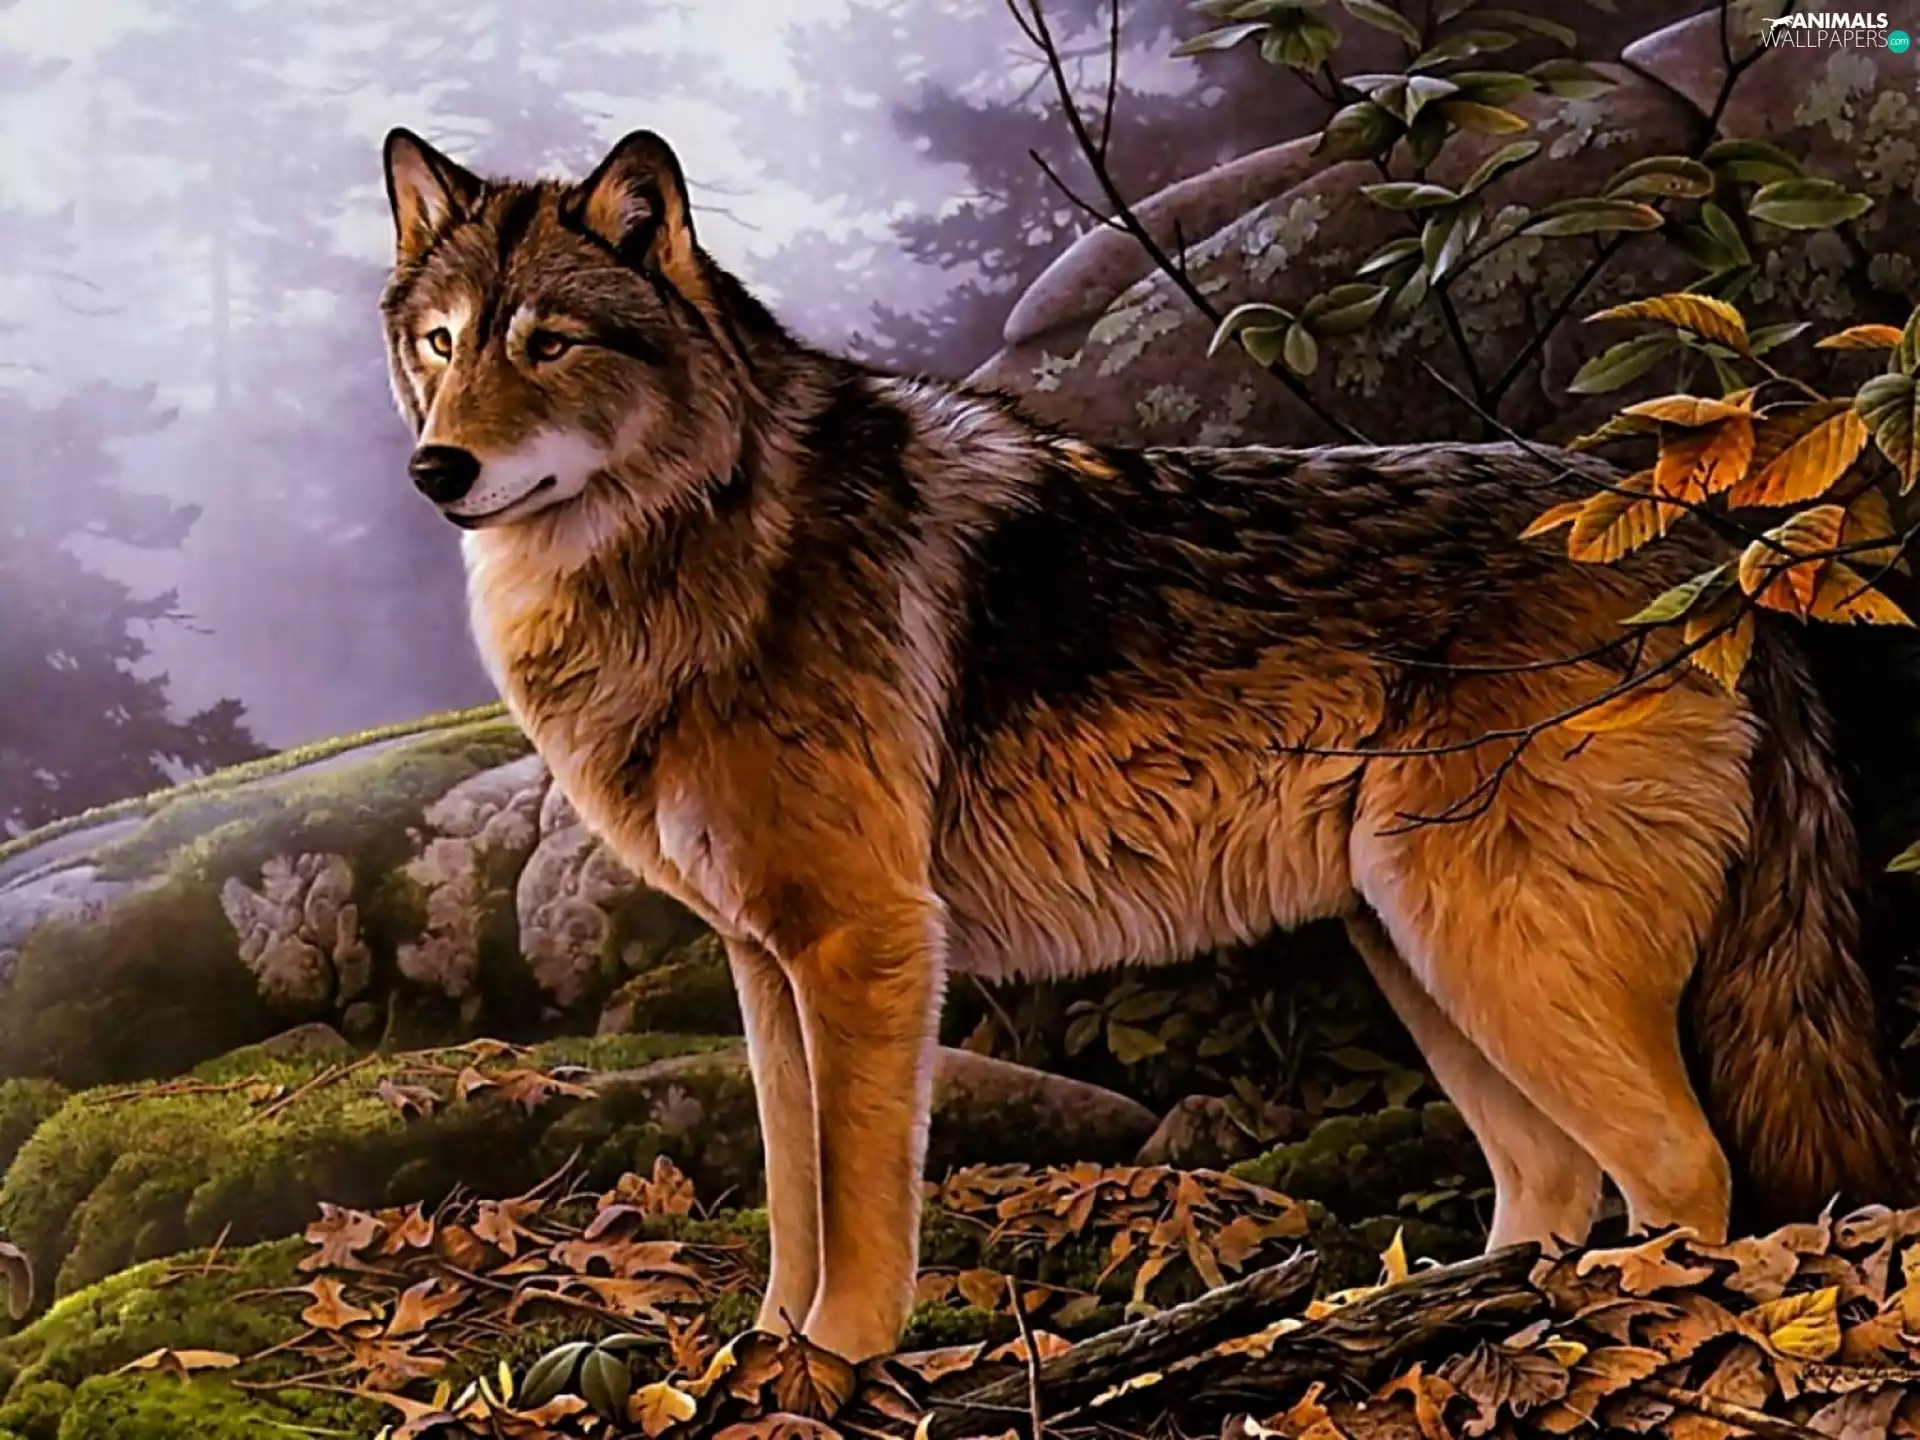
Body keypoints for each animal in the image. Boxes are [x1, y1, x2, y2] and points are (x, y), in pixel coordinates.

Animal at [379, 126, 1914, 1362]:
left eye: (550, 342)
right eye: (442, 342)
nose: (434, 472)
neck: (705, 539)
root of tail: (1710, 552)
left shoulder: (870, 943)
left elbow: (863, 1211)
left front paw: (838, 1373)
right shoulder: (768, 962)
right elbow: (792, 1197)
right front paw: (759, 1366)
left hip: (1499, 951)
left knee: (1684, 1175)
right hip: (1426, 958)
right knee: (1551, 1182)